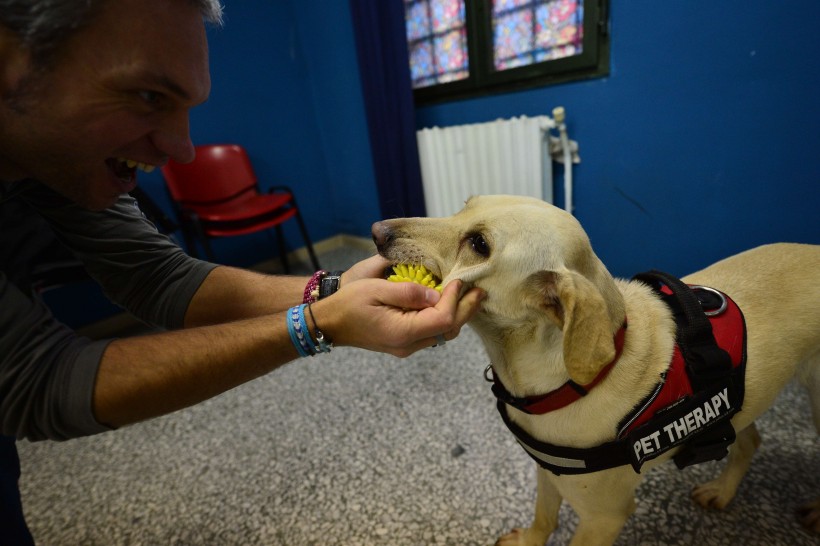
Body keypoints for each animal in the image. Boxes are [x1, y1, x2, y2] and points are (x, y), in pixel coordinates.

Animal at [374, 196, 820, 544]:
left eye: (479, 244)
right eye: (464, 206)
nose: (378, 231)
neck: (566, 384)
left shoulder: (604, 517)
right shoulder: (548, 473)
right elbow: (543, 519)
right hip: (742, 402)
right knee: (749, 443)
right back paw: (723, 492)